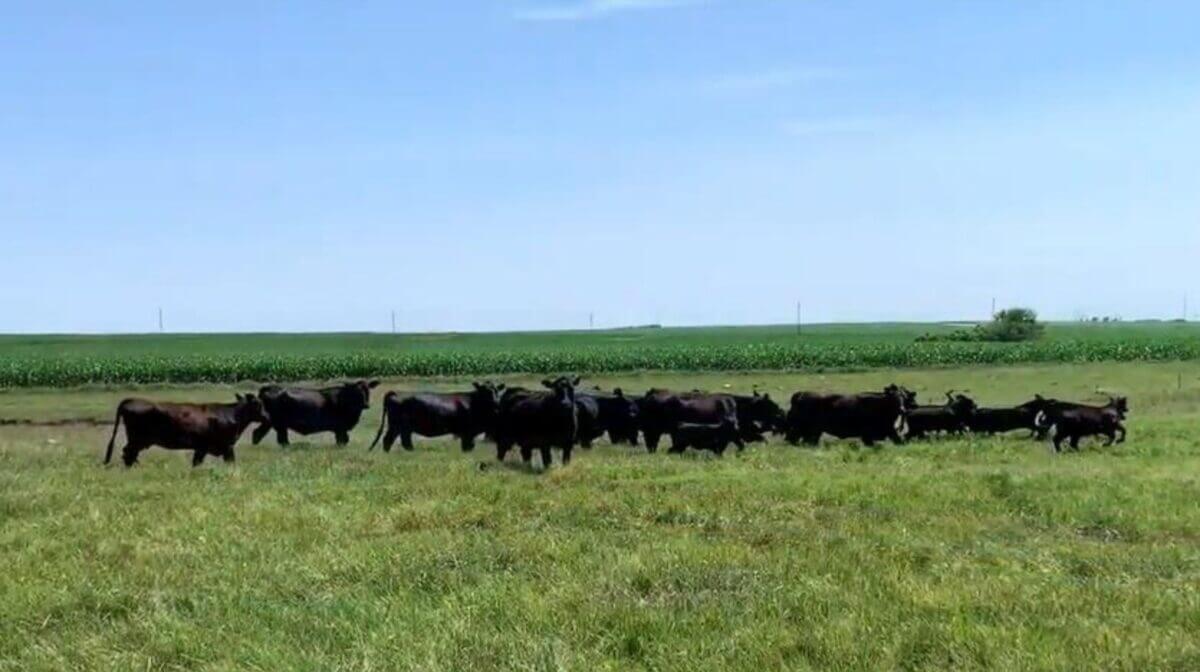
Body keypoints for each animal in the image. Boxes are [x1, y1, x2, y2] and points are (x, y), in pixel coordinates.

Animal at [104, 394, 269, 467]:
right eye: (259, 404)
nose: (267, 416)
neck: (232, 415)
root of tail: (130, 399)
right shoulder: (227, 446)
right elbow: (231, 462)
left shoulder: (202, 448)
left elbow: (196, 462)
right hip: (137, 439)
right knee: (128, 453)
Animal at [251, 380, 380, 447]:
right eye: (356, 391)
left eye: (368, 390)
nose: (366, 404)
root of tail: (268, 387)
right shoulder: (340, 428)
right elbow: (342, 440)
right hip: (278, 423)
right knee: (280, 438)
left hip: (269, 422)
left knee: (258, 433)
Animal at [369, 382, 505, 453]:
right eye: (484, 390)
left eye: (496, 390)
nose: (496, 402)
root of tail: (397, 392)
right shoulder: (467, 433)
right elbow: (467, 447)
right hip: (398, 425)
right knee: (390, 440)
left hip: (401, 427)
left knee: (400, 441)